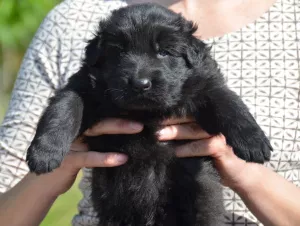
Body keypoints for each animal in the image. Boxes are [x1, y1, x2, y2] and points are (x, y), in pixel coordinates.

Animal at [27, 3, 274, 226]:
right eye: (119, 51)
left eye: (164, 52)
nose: (140, 84)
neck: (146, 114)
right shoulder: (82, 87)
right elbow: (64, 108)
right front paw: (44, 153)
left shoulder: (204, 87)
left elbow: (228, 102)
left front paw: (253, 141)